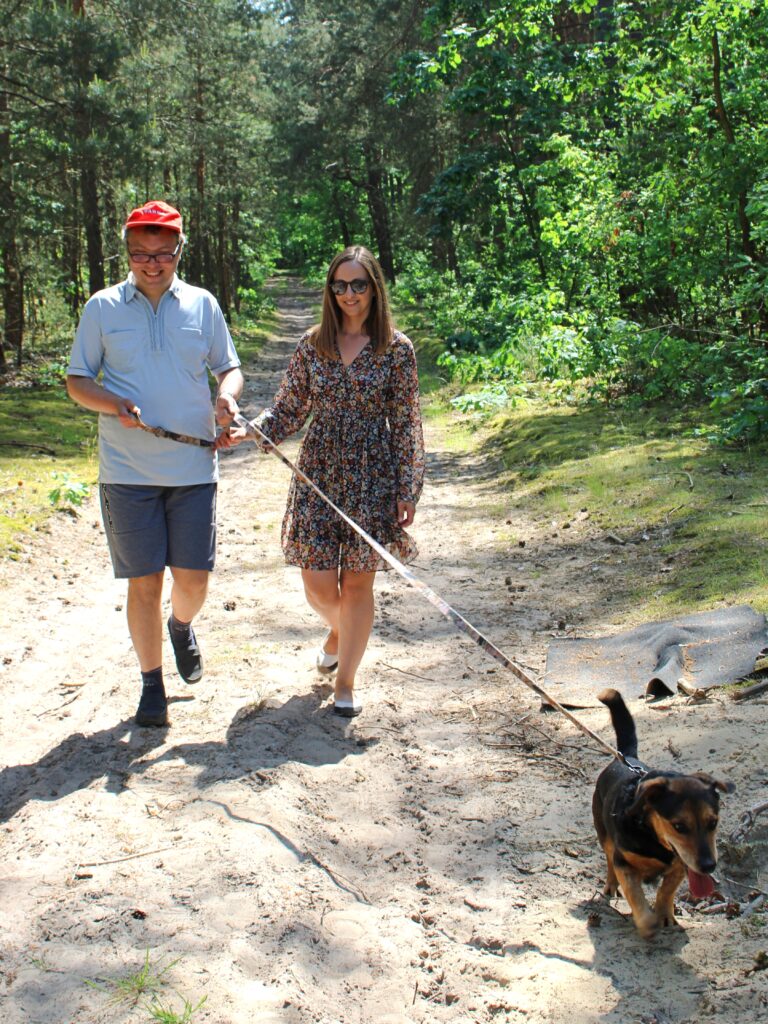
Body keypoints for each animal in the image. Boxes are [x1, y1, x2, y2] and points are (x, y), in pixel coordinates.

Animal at [593, 688, 734, 938]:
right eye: (679, 826)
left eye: (713, 822)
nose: (709, 866)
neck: (651, 835)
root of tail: (627, 757)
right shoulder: (624, 864)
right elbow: (635, 894)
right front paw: (647, 921)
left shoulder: (680, 866)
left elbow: (666, 890)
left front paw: (665, 914)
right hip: (604, 835)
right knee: (608, 861)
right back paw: (610, 885)